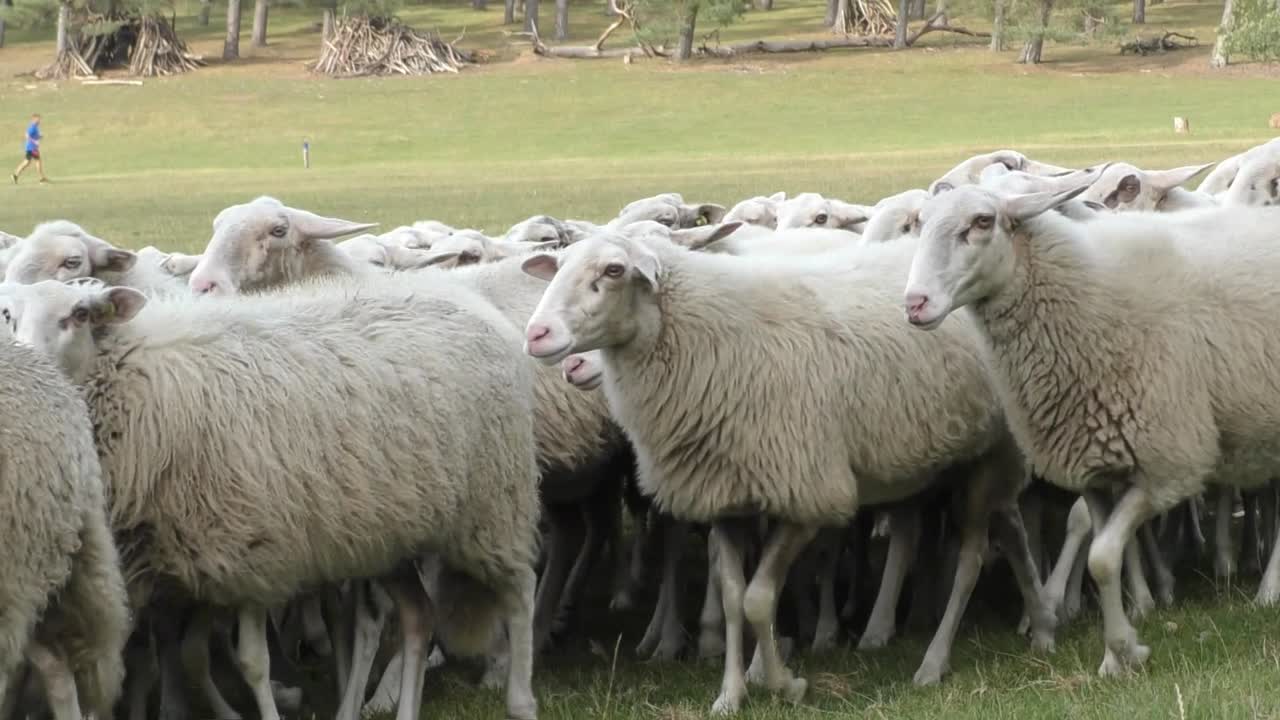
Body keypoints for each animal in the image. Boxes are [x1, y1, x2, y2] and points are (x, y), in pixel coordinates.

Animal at [522, 232, 1056, 712]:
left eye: (613, 270)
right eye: (559, 265)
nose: (536, 335)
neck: (709, 338)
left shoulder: (809, 492)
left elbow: (759, 598)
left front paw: (785, 684)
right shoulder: (727, 496)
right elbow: (733, 596)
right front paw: (730, 694)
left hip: (991, 455)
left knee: (970, 560)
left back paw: (934, 661)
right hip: (968, 456)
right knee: (1011, 529)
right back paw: (1044, 624)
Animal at [902, 184, 1280, 677]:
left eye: (982, 222)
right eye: (919, 222)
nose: (914, 304)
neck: (1091, 302)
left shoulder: (1168, 465)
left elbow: (1100, 557)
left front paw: (1124, 651)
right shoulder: (1096, 469)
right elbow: (1106, 558)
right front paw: (1118, 654)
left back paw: (1268, 591)